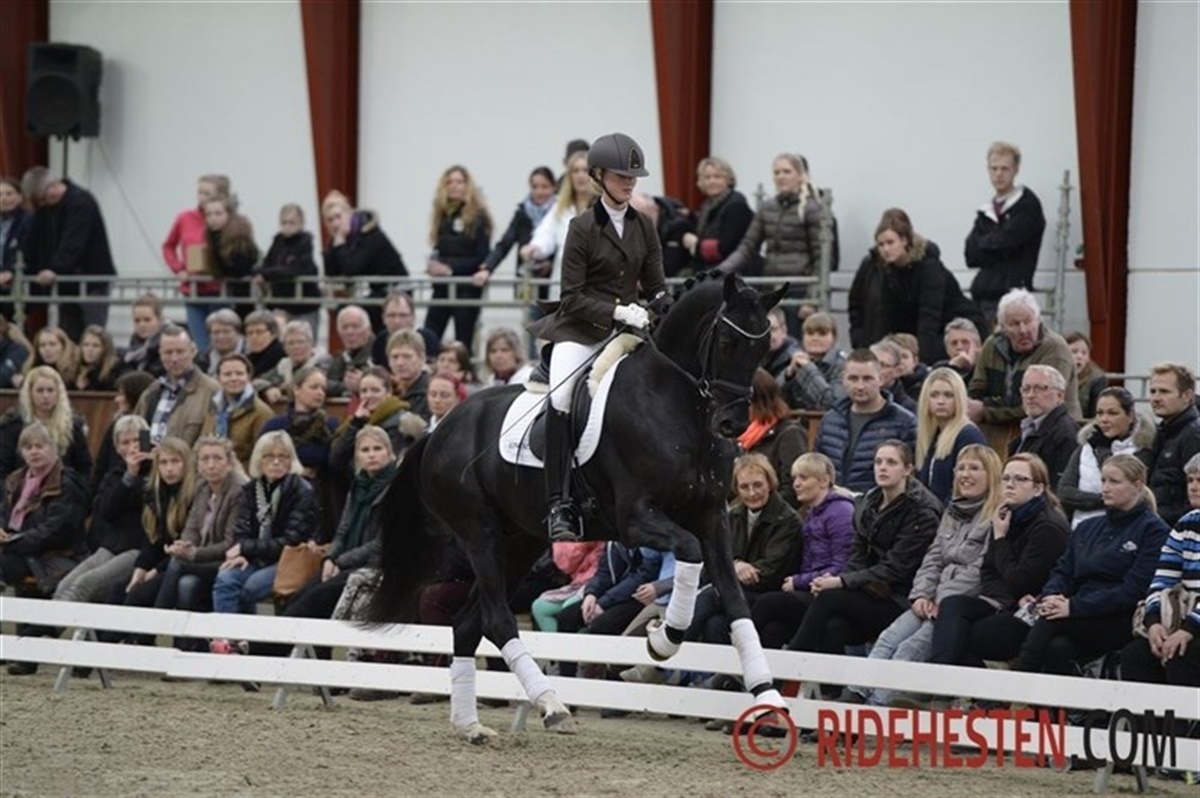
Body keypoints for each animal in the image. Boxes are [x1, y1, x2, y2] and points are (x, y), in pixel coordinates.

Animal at [365, 271, 790, 743]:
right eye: (728, 342)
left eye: (763, 347)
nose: (733, 423)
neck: (676, 406)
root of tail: (439, 431)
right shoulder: (637, 518)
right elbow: (689, 552)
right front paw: (664, 639)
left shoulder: (711, 517)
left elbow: (734, 599)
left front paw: (769, 698)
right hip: (480, 535)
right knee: (496, 620)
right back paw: (551, 705)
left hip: (520, 542)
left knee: (468, 623)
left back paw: (471, 724)